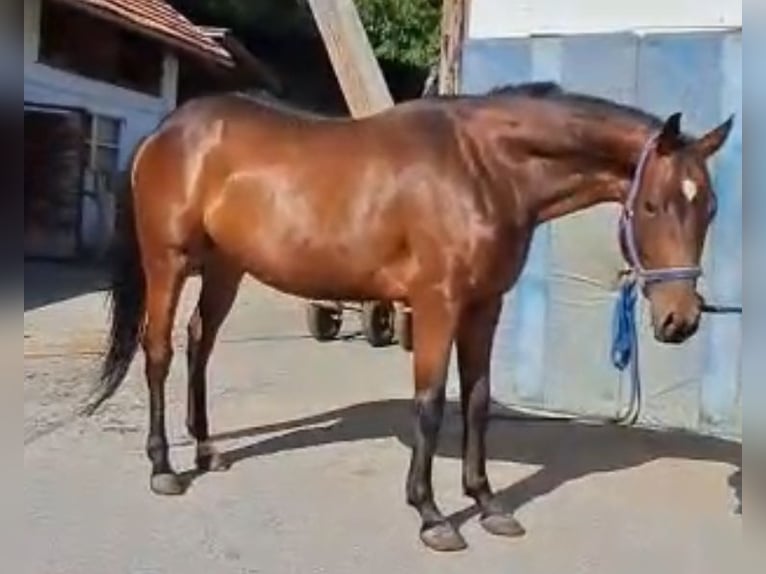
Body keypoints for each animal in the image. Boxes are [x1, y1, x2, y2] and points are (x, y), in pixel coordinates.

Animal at [84, 81, 734, 552]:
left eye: (710, 208)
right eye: (652, 205)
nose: (680, 320)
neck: (484, 168)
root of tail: (167, 131)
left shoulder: (484, 307)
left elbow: (477, 401)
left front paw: (488, 503)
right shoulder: (437, 303)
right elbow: (430, 404)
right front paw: (431, 514)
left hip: (226, 267)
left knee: (201, 344)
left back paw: (206, 450)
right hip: (168, 262)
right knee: (159, 350)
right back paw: (164, 466)